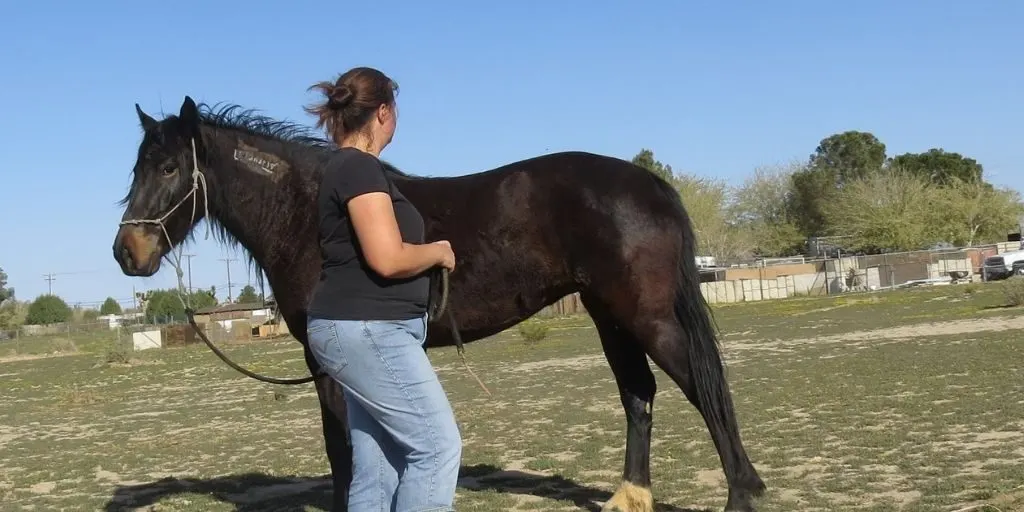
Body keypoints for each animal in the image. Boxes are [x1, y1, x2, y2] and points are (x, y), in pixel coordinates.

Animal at [114, 96, 770, 512]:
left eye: (169, 167)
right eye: (136, 167)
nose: (127, 252)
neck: (307, 212)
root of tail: (649, 183)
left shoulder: (327, 361)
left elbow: (341, 451)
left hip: (647, 318)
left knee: (706, 389)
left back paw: (741, 494)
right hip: (611, 317)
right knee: (639, 396)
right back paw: (630, 496)